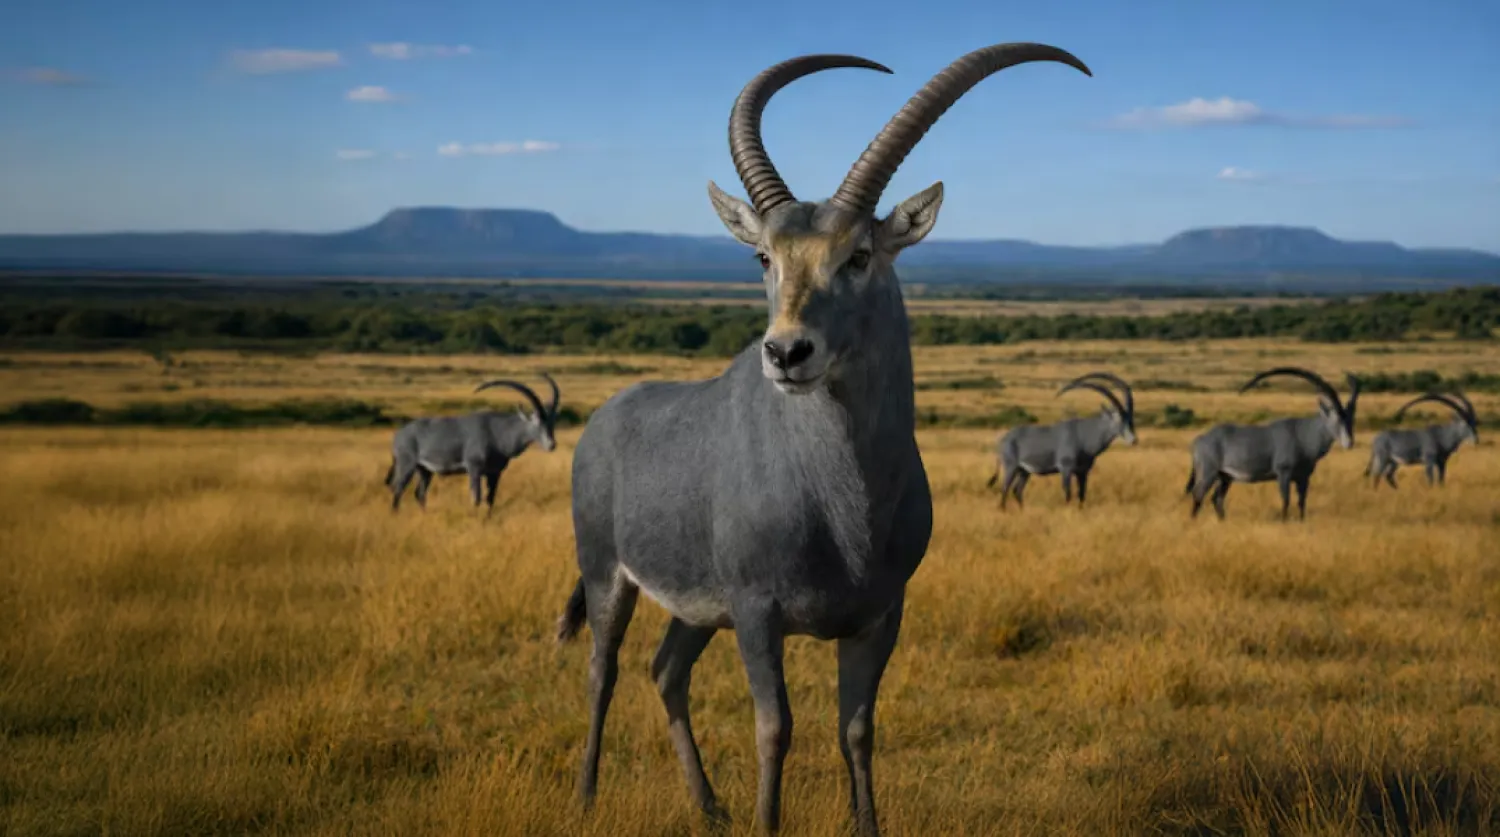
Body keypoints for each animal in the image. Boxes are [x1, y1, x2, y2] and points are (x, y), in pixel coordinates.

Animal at [385, 373, 560, 513]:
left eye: (552, 422)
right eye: (537, 420)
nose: (551, 445)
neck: (498, 432)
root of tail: (399, 434)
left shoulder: (494, 473)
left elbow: (490, 499)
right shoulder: (474, 469)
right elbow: (476, 498)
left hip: (424, 470)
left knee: (419, 493)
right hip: (407, 465)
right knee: (398, 489)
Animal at [553, 42, 1091, 835]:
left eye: (859, 254)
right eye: (764, 257)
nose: (786, 353)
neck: (843, 503)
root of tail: (606, 418)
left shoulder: (879, 615)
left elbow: (857, 728)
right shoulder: (758, 613)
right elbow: (775, 727)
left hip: (696, 609)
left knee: (667, 670)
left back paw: (709, 806)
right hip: (607, 575)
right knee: (604, 668)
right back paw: (587, 796)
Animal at [986, 371, 1136, 508]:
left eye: (1130, 417)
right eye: (1119, 418)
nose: (1133, 440)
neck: (1084, 435)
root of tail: (1003, 439)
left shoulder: (1083, 472)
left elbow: (1082, 495)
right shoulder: (1066, 469)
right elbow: (1068, 494)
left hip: (1024, 471)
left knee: (1017, 491)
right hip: (1011, 467)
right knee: (1005, 489)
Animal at [1187, 366, 1360, 521]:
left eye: (1351, 418)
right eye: (1336, 417)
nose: (1349, 443)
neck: (1303, 434)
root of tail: (1199, 439)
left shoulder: (1303, 478)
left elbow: (1302, 502)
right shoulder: (1283, 473)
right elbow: (1286, 500)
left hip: (1225, 477)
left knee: (1216, 498)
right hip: (1209, 472)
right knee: (1198, 494)